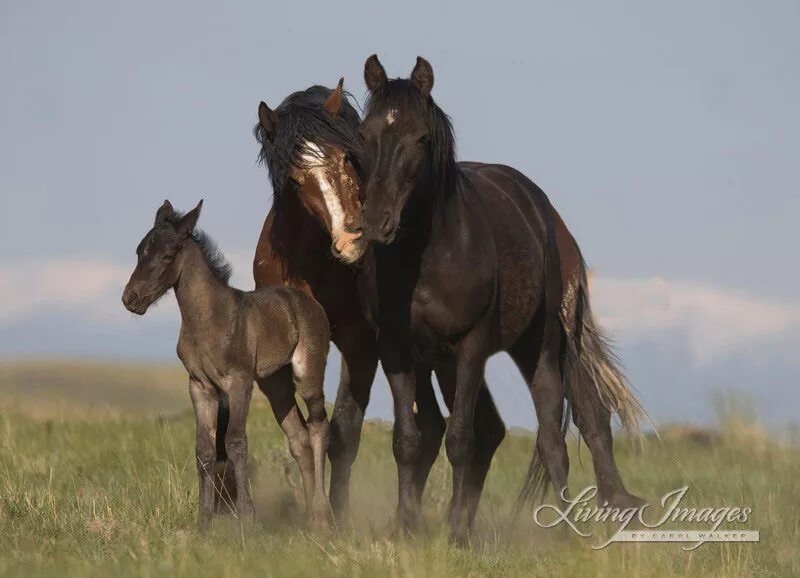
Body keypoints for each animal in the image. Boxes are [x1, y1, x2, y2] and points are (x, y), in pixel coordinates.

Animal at [360, 54, 648, 540]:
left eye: (421, 138)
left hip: (540, 347)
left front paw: (456, 536)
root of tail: (547, 213)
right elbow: (409, 439)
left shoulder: (472, 345)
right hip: (440, 362)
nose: (376, 220)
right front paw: (408, 528)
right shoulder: (397, 349)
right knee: (499, 429)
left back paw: (565, 529)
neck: (427, 256)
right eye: (366, 133)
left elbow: (461, 439)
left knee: (557, 434)